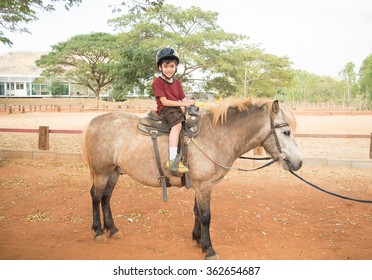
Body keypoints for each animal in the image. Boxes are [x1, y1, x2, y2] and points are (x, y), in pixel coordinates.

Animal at [83, 98, 302, 260]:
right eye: (286, 132)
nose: (298, 162)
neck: (217, 136)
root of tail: (93, 122)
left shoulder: (200, 186)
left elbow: (197, 211)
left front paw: (198, 240)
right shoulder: (204, 186)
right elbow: (205, 216)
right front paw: (209, 249)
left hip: (114, 172)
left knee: (106, 198)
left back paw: (112, 229)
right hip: (102, 172)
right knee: (96, 196)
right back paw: (99, 232)